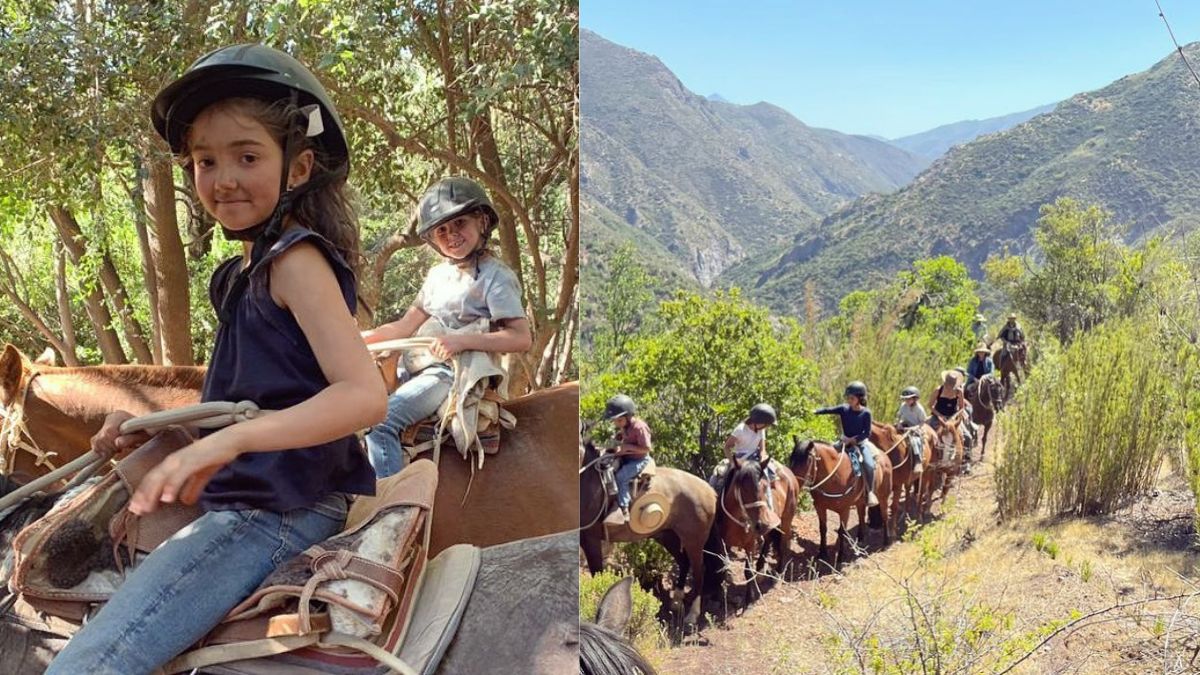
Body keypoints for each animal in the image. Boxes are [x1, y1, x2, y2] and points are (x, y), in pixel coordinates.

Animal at [578, 439, 715, 624]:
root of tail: (710, 490)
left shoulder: (590, 539)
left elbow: (597, 575)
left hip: (694, 540)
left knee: (699, 570)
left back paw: (692, 614)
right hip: (668, 535)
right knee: (684, 562)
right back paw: (676, 602)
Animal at [787, 437, 892, 566]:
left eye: (806, 461)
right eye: (791, 459)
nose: (792, 483)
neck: (835, 476)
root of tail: (884, 456)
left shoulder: (844, 510)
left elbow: (842, 531)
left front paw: (841, 557)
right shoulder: (820, 507)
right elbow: (823, 529)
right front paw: (822, 553)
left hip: (883, 496)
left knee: (885, 515)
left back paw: (886, 542)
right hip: (860, 501)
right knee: (861, 517)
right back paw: (860, 540)